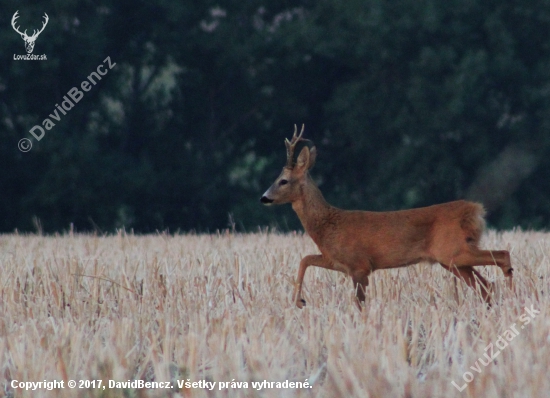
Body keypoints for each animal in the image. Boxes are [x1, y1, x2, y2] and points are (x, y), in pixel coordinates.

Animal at [260, 124, 516, 308]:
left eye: (283, 181)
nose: (264, 197)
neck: (327, 226)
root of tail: (475, 210)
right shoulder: (336, 261)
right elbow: (305, 259)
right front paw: (299, 301)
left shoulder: (359, 264)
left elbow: (360, 303)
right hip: (452, 260)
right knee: (486, 286)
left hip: (453, 250)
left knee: (502, 256)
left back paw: (514, 299)